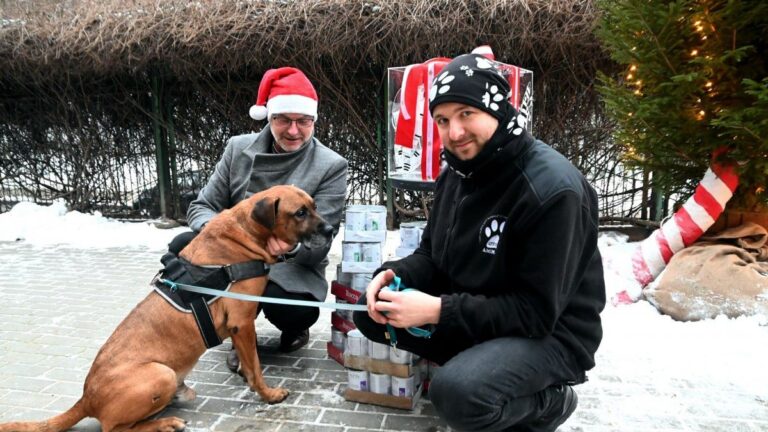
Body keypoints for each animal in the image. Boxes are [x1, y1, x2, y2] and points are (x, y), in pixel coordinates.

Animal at [0, 186, 336, 432]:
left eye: (314, 205)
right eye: (300, 212)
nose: (332, 229)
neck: (245, 232)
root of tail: (87, 398)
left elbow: (248, 361)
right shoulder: (242, 322)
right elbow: (255, 367)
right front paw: (268, 394)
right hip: (159, 373)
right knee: (114, 428)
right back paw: (164, 423)